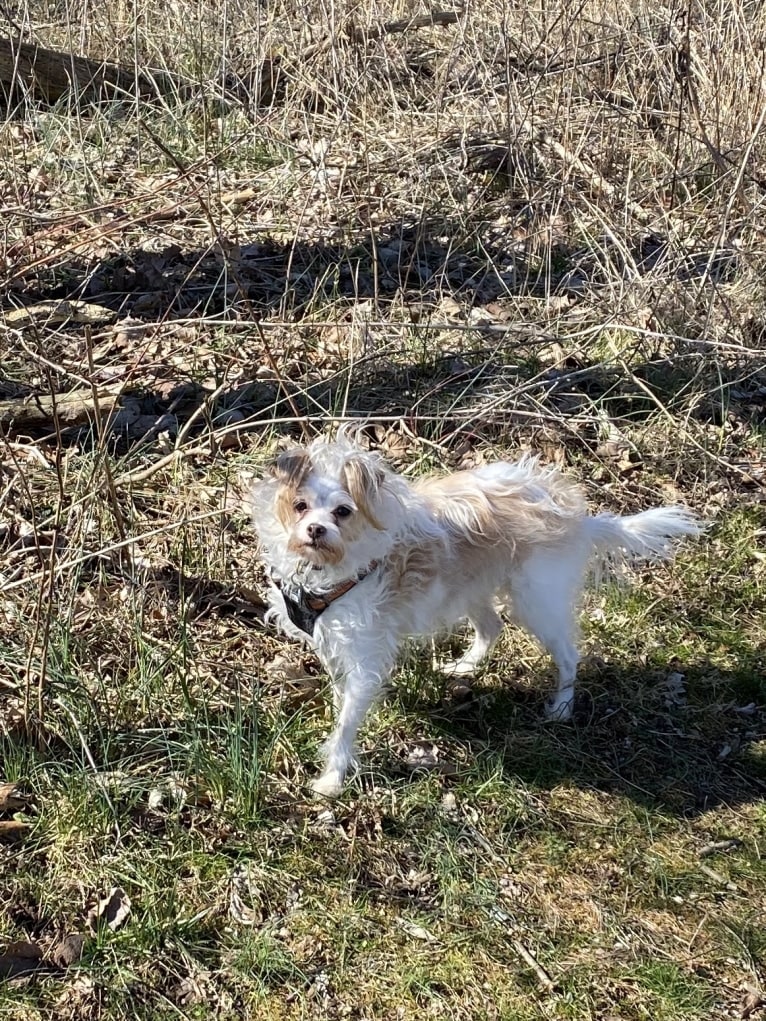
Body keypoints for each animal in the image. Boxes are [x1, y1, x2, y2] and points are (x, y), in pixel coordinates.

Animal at [250, 430, 702, 796]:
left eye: (343, 512)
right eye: (300, 505)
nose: (315, 529)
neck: (327, 570)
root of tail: (580, 519)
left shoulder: (366, 653)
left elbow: (347, 719)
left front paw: (332, 777)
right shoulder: (333, 640)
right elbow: (341, 691)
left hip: (537, 601)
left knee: (568, 655)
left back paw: (561, 708)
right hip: (471, 589)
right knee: (492, 625)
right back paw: (464, 667)